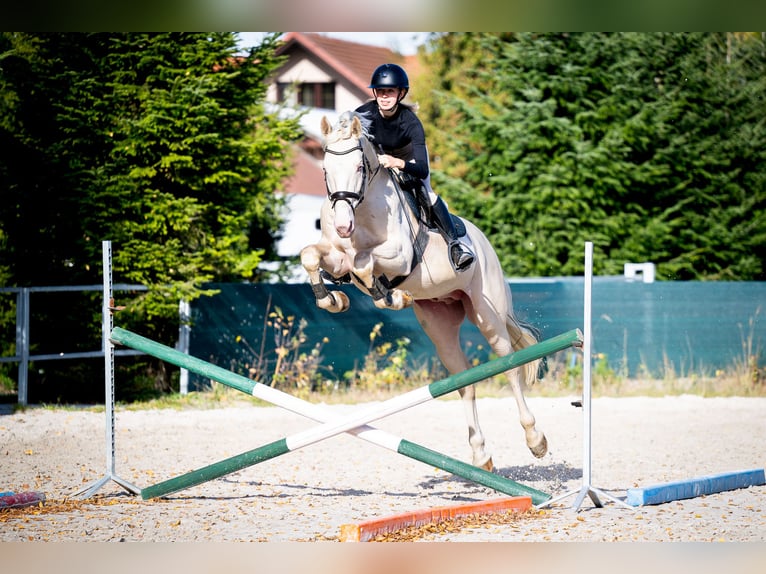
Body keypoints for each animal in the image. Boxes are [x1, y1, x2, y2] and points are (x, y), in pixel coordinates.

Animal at [300, 111, 546, 470]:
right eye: (325, 170)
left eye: (359, 167)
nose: (343, 225)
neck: (362, 211)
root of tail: (484, 243)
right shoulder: (334, 255)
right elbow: (312, 257)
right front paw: (333, 299)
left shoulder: (398, 256)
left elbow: (363, 263)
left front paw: (389, 295)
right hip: (440, 325)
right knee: (464, 383)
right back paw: (481, 454)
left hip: (488, 315)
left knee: (510, 367)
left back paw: (535, 439)